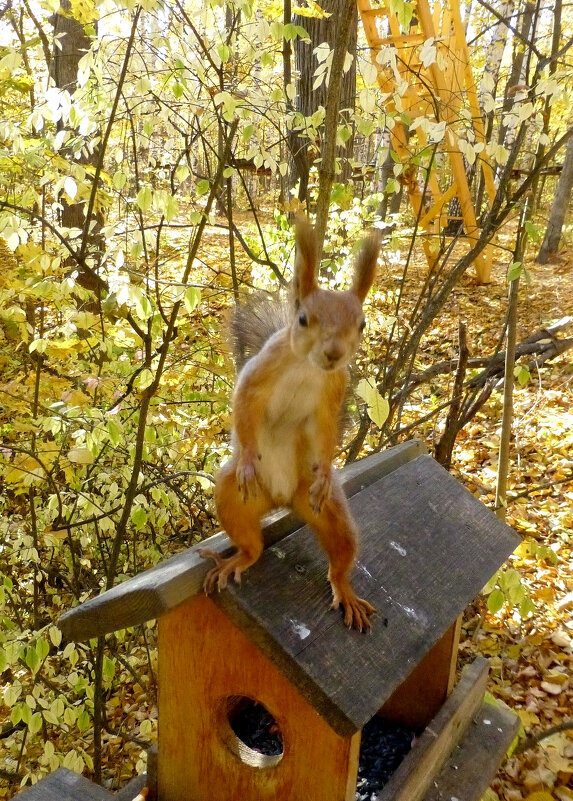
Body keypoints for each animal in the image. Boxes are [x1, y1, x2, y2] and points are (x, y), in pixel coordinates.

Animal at [200, 219, 380, 632]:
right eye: (303, 319)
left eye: (361, 324)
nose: (334, 353)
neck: (308, 367)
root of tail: (283, 499)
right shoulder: (258, 374)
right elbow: (244, 406)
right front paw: (249, 458)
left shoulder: (335, 389)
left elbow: (326, 431)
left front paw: (327, 469)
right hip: (233, 497)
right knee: (252, 545)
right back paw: (238, 558)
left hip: (328, 511)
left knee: (340, 557)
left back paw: (345, 590)